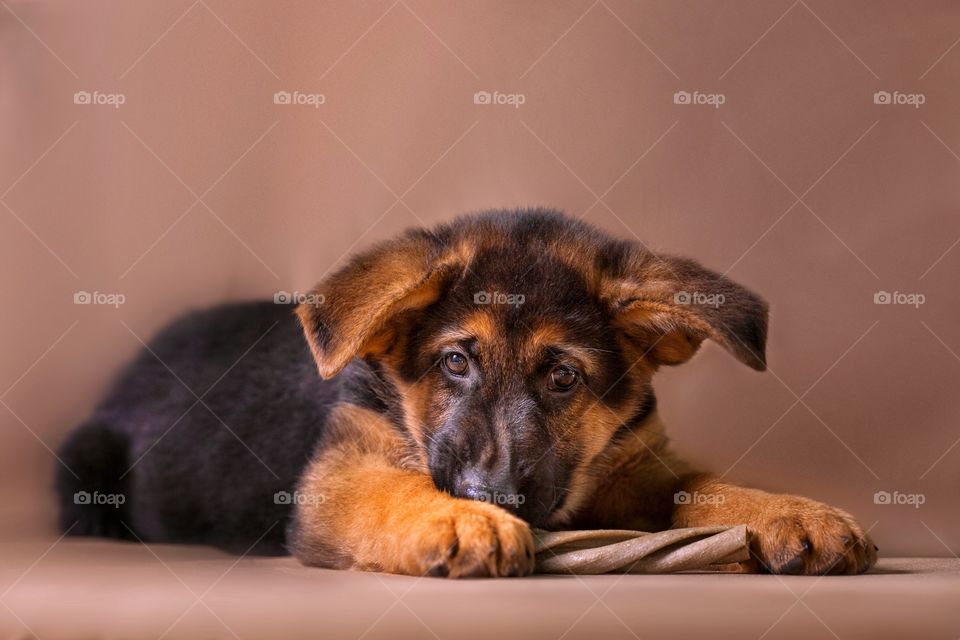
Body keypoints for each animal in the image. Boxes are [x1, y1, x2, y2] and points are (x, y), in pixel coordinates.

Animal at [54, 209, 876, 576]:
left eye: (563, 376)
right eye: (454, 362)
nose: (490, 494)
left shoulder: (636, 464)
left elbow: (706, 486)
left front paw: (791, 513)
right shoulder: (340, 475)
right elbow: (394, 489)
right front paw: (459, 521)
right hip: (83, 457)